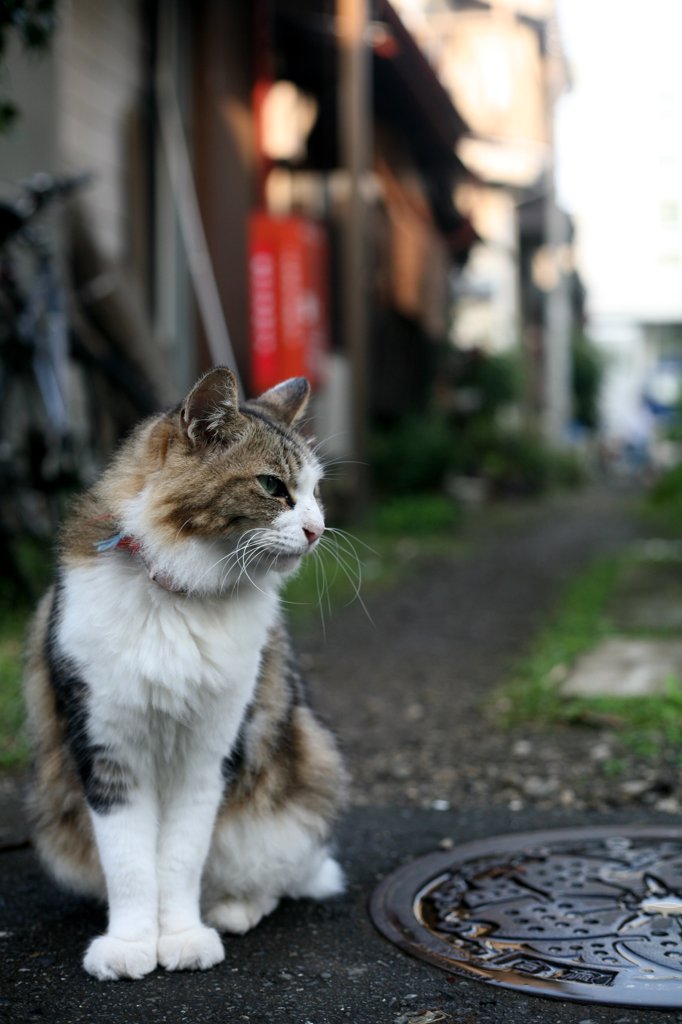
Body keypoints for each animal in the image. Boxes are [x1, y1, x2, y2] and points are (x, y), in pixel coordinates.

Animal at [23, 370, 348, 983]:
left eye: (315, 492)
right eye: (273, 486)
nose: (317, 530)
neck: (179, 598)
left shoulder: (207, 756)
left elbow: (179, 858)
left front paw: (180, 936)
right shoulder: (107, 749)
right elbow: (129, 863)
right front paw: (130, 943)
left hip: (299, 780)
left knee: (275, 877)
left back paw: (232, 910)